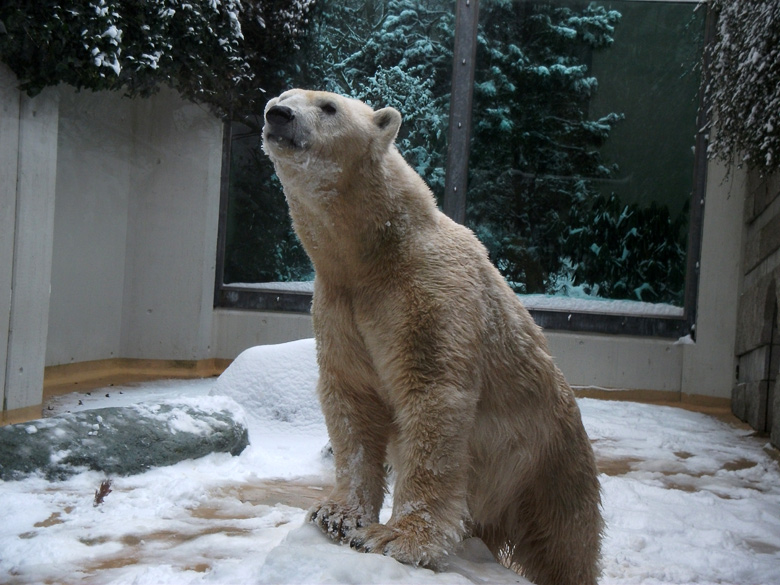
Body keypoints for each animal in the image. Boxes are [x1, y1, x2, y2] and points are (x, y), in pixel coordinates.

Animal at [262, 89, 604, 584]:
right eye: (282, 96)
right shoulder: (338, 305)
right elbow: (352, 400)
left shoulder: (428, 291)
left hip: (548, 463)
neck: (375, 252)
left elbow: (432, 399)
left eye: (328, 106)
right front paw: (337, 515)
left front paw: (397, 538)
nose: (279, 115)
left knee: (564, 544)